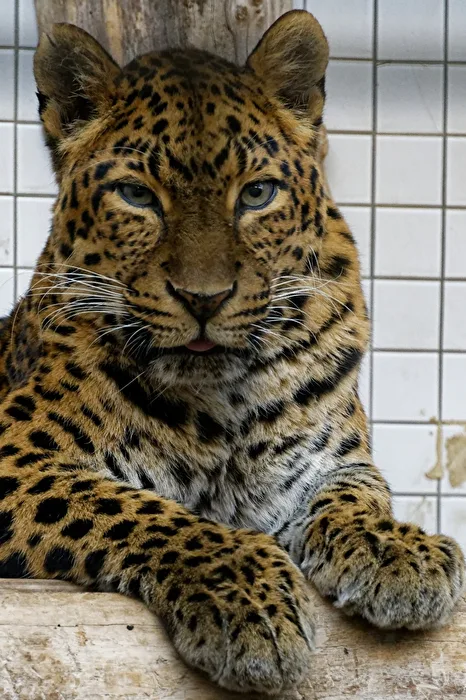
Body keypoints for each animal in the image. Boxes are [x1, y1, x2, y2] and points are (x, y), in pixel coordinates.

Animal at [0, 9, 463, 696]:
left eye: (256, 195)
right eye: (138, 196)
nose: (204, 298)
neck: (223, 404)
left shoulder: (329, 460)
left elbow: (356, 490)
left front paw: (393, 548)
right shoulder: (16, 455)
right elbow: (141, 509)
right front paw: (245, 595)